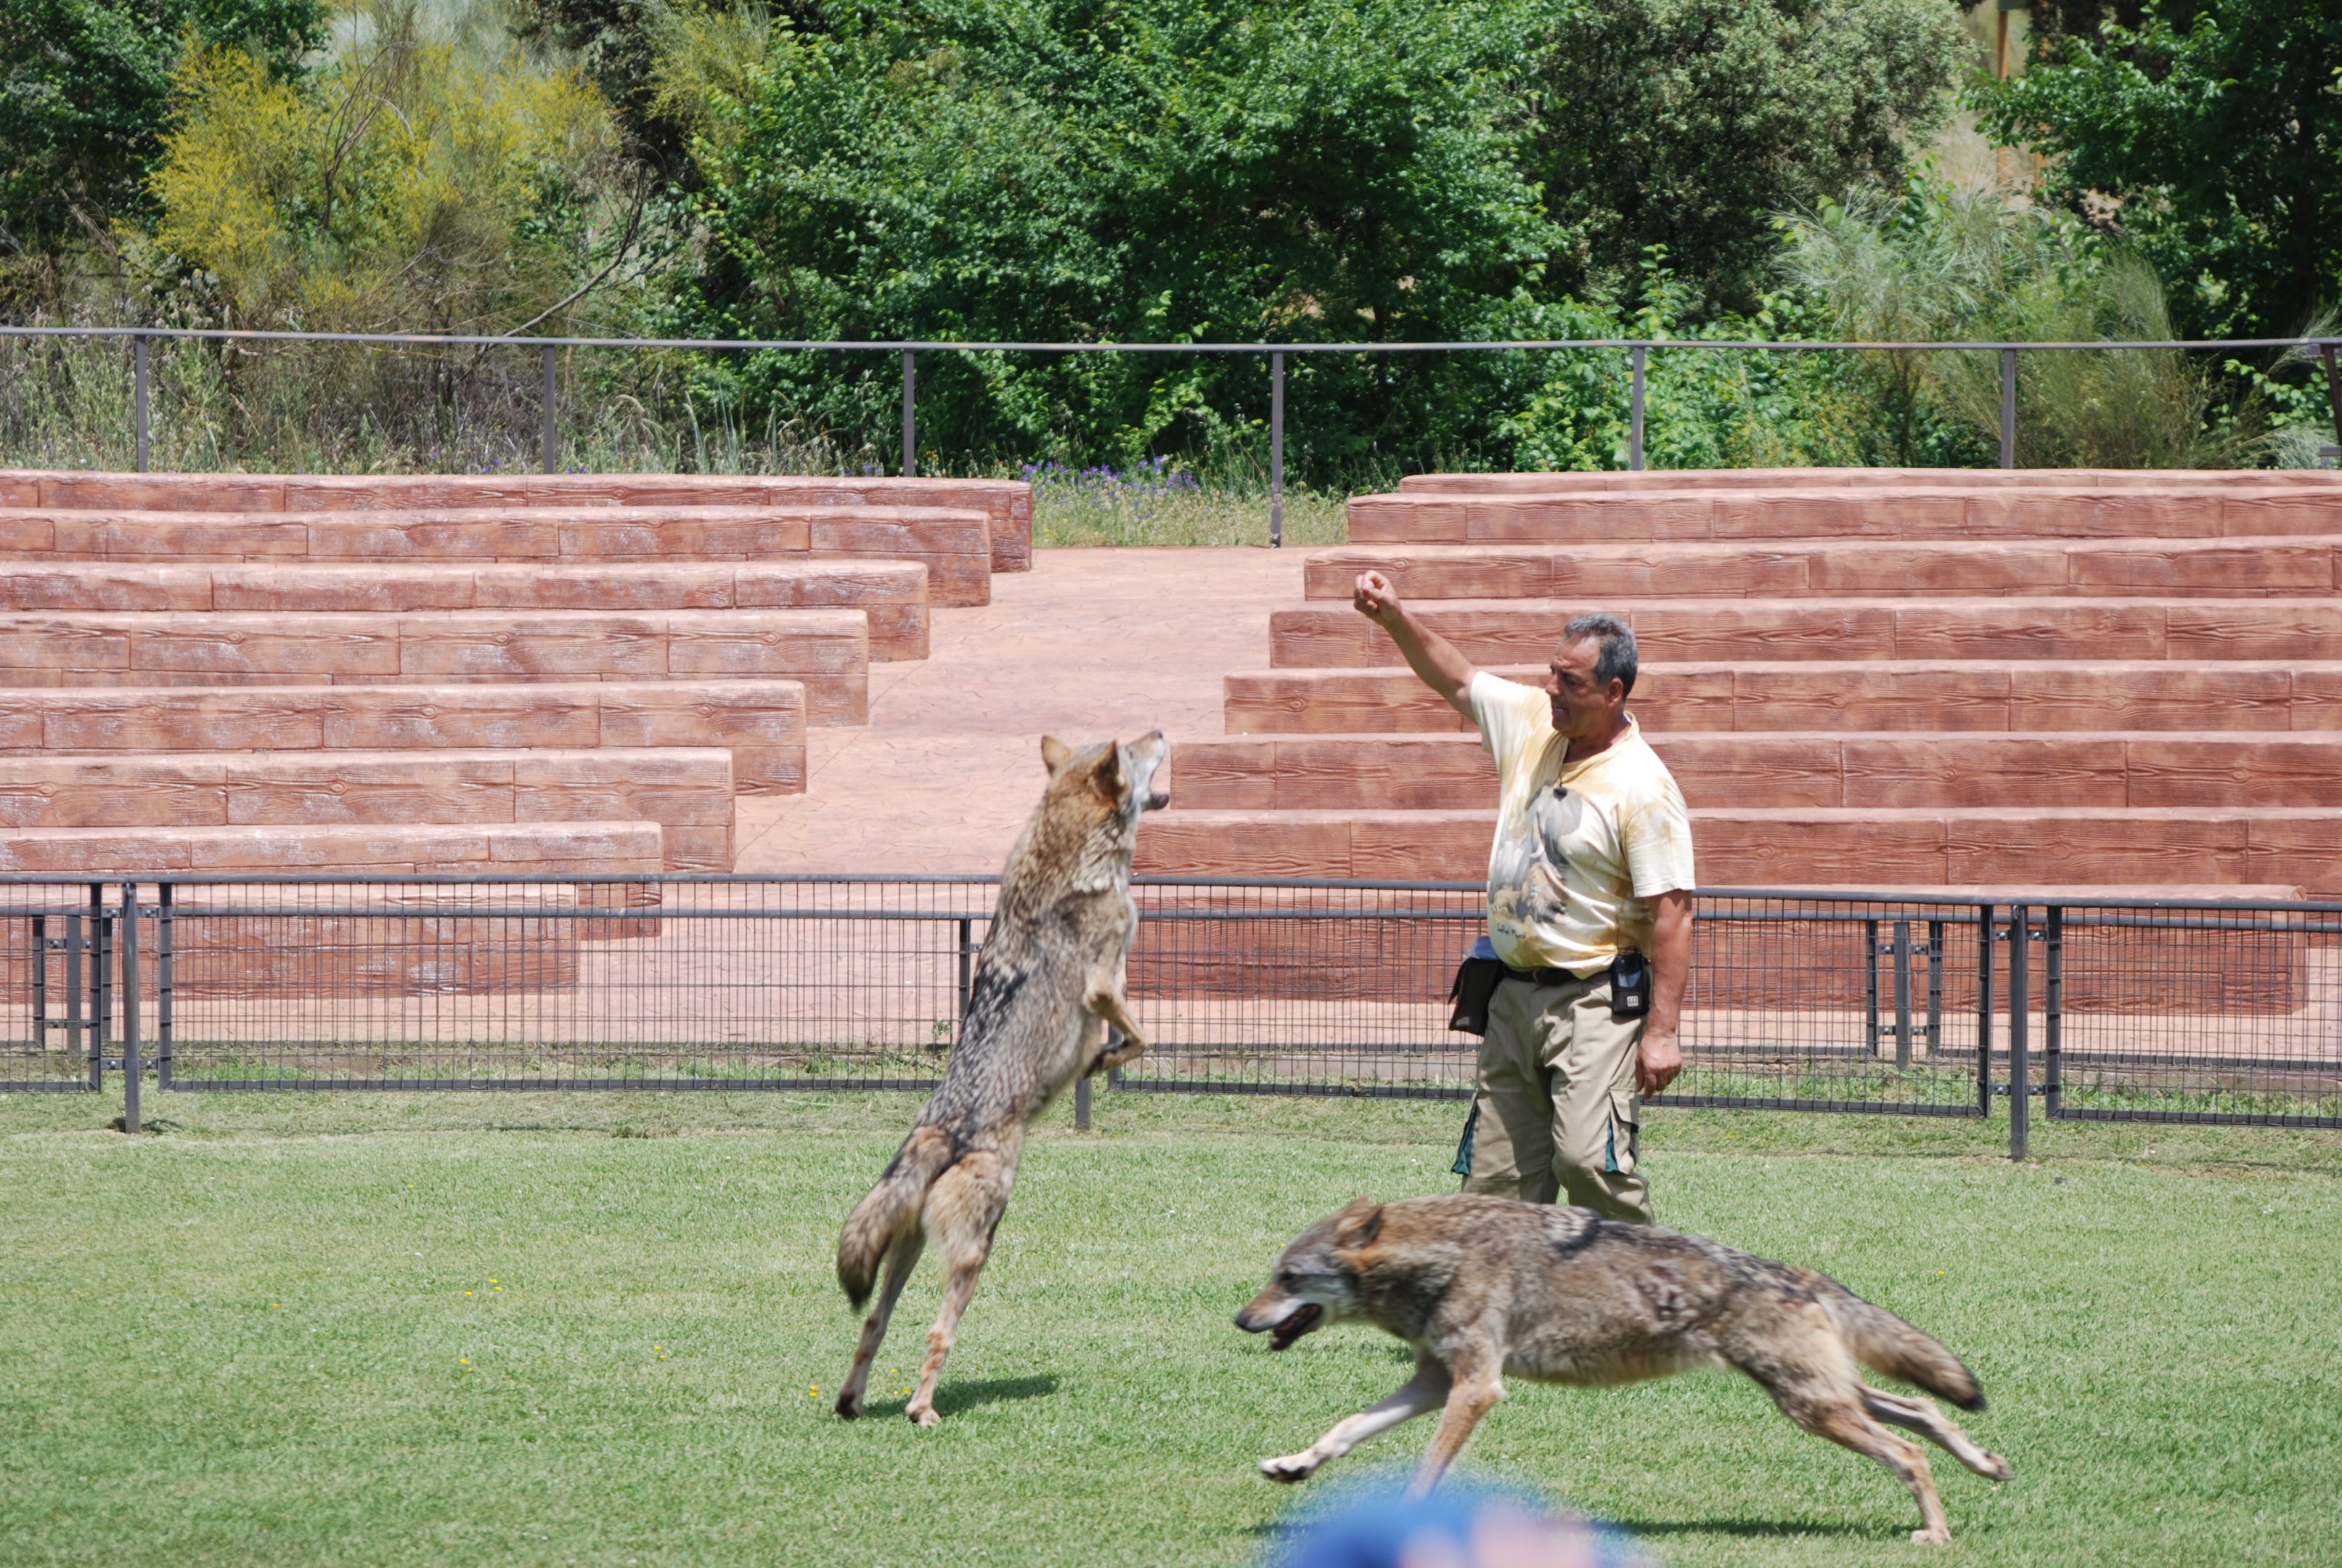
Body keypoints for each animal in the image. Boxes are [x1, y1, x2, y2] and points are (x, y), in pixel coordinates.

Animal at [832, 731, 1170, 1426]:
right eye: (1133, 750)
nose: (1159, 730)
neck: (1076, 855)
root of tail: (941, 1133)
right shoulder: (1105, 984)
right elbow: (1142, 1039)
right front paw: (1103, 1062)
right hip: (976, 1249)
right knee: (937, 1334)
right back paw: (921, 1409)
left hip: (907, 1252)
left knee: (874, 1323)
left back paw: (852, 1402)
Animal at [1235, 1195, 2010, 1544]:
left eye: (1288, 1278)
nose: (1240, 1320)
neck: (1442, 1255)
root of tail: (1797, 1273)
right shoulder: (1435, 1381)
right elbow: (1345, 1429)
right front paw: (1295, 1465)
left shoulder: (1476, 1389)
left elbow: (1425, 1471)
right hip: (1823, 1397)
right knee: (1926, 1412)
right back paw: (1988, 1465)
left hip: (1812, 1406)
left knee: (1910, 1451)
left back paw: (1936, 1535)